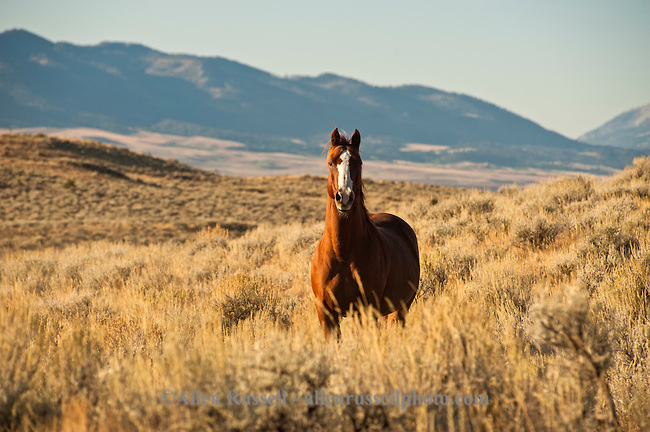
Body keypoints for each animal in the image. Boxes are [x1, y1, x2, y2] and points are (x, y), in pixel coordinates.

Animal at [310, 128, 420, 338]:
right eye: (331, 162)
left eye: (358, 163)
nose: (344, 197)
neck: (342, 252)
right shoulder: (326, 313)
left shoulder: (364, 310)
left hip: (399, 309)